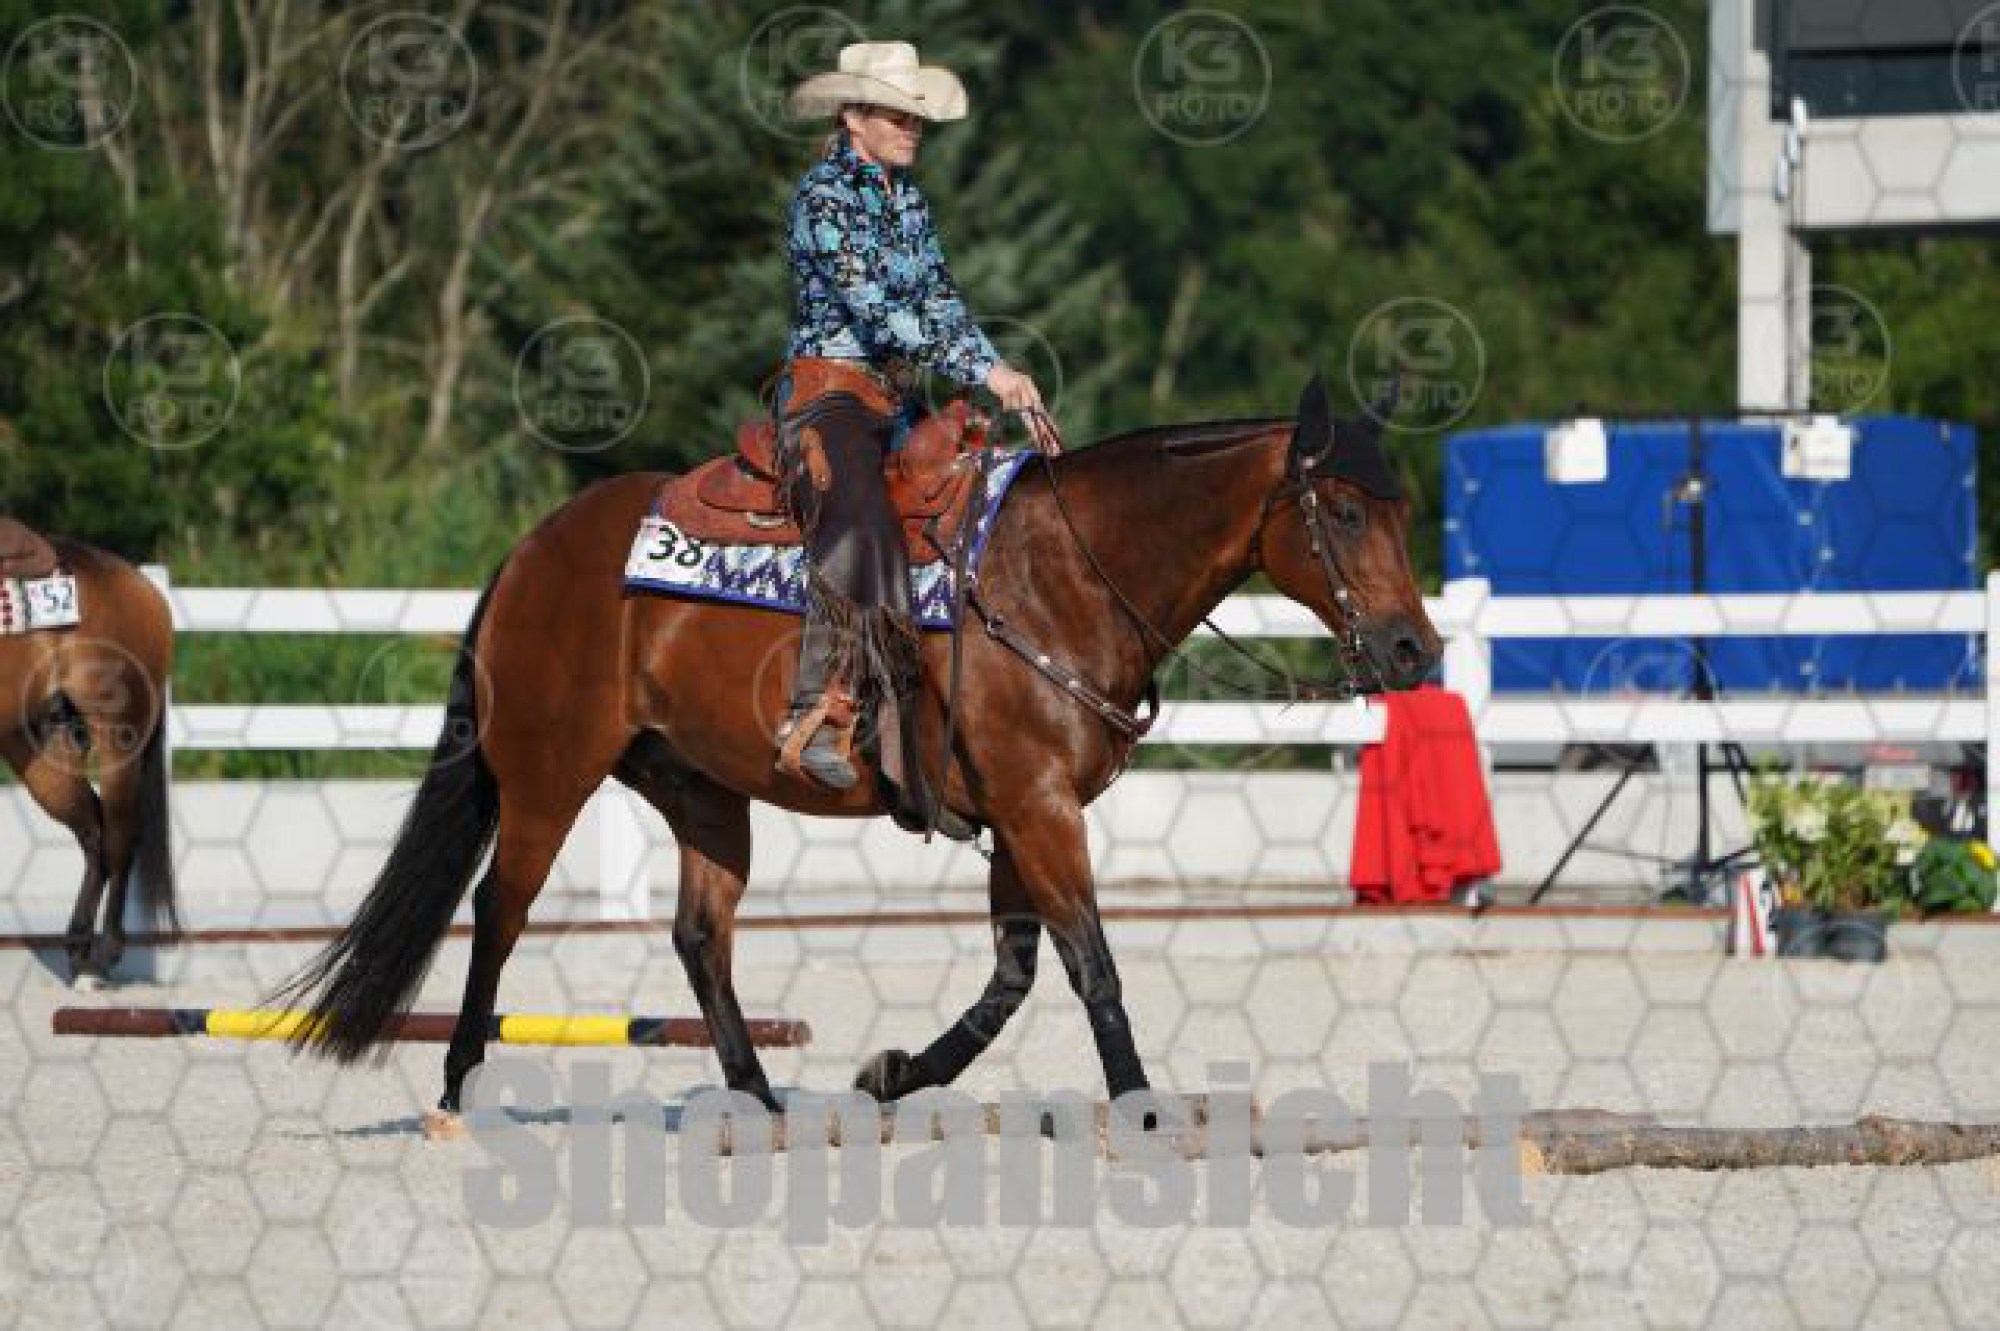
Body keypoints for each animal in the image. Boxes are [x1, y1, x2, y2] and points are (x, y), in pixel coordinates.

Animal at [0, 533, 177, 983]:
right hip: (43, 751)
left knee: (119, 836)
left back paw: (105, 951)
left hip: (118, 743)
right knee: (92, 832)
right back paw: (80, 947)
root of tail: (144, 587)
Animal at [272, 372, 1442, 1129]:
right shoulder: (1038, 806)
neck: (1059, 573)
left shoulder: (1024, 812)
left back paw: (759, 1099)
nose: (1412, 648)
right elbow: (1089, 963)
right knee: (499, 913)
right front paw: (1141, 1105)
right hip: (549, 774)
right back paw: (457, 1090)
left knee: (700, 937)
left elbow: (1013, 974)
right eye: (1343, 509)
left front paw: (893, 1073)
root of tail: (532, 548)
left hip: (700, 790)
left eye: (1401, 507)